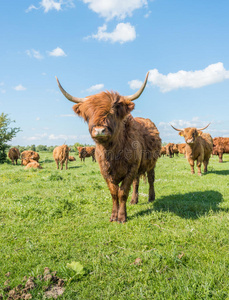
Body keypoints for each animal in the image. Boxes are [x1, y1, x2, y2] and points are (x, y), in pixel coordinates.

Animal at [56, 72, 162, 223]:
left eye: (112, 112)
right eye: (88, 114)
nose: (100, 130)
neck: (112, 152)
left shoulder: (131, 169)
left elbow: (122, 192)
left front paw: (122, 217)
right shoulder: (105, 171)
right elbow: (114, 193)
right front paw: (113, 216)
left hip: (151, 162)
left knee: (151, 178)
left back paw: (151, 197)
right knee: (136, 183)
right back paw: (134, 200)